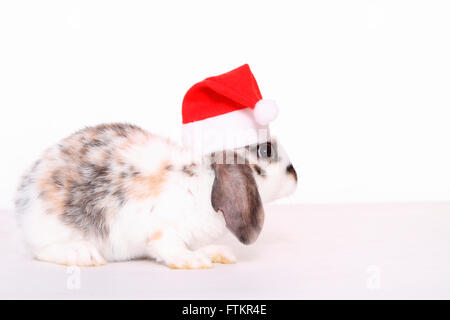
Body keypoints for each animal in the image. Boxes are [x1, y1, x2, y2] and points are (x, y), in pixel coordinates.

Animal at [14, 124, 298, 268]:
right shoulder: (161, 229)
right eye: (266, 149)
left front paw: (215, 253)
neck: (203, 181)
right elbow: (169, 246)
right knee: (42, 251)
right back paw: (82, 254)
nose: (295, 175)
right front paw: (192, 260)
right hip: (52, 229)